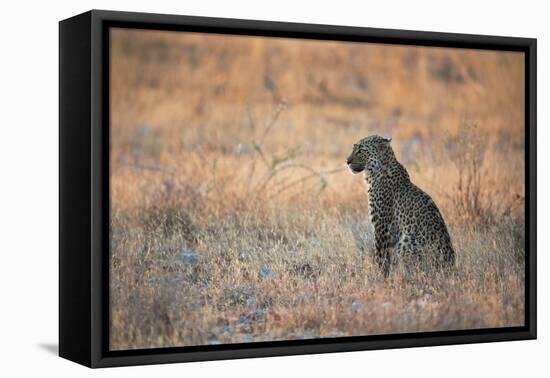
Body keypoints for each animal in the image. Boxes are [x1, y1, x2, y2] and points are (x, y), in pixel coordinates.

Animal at [350, 134, 458, 276]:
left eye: (360, 151)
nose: (347, 161)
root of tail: (451, 269)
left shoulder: (382, 227)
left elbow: (381, 257)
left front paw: (380, 277)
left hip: (407, 241)